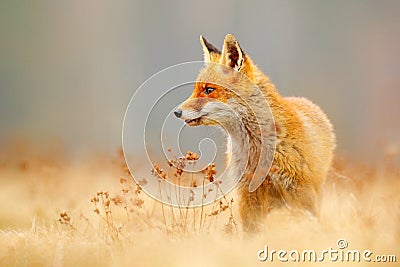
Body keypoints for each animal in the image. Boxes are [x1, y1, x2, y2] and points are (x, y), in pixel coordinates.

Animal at [173, 34, 336, 232]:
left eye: (209, 90)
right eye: (195, 89)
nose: (176, 112)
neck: (257, 149)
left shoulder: (300, 190)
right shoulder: (247, 192)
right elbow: (250, 232)